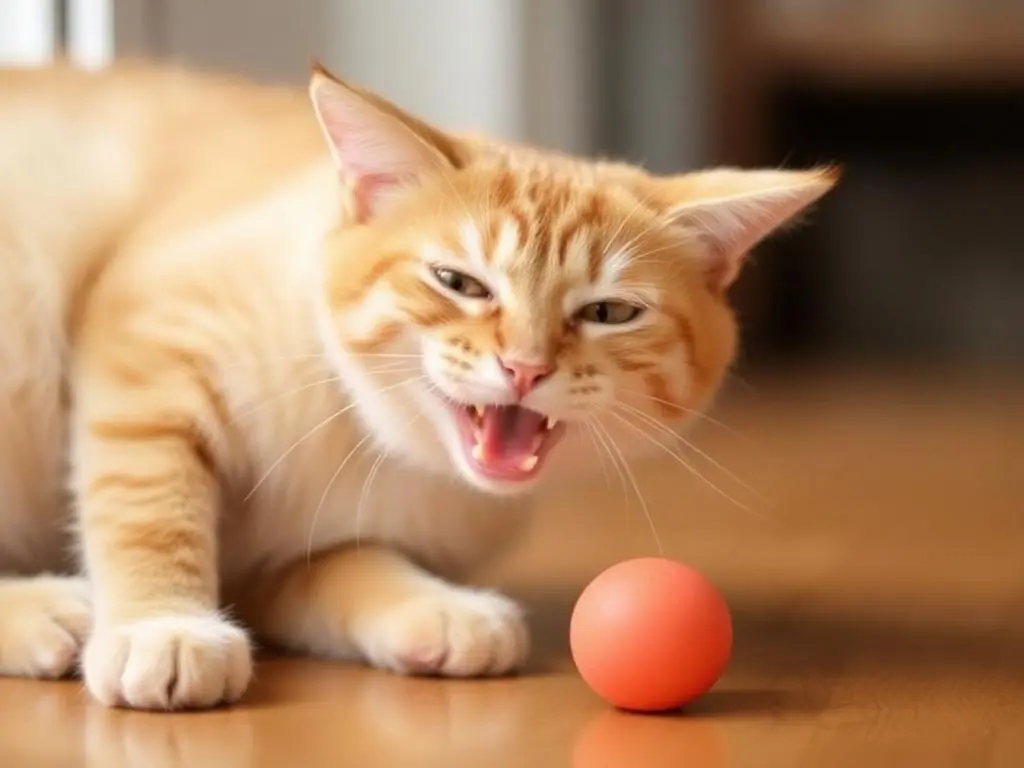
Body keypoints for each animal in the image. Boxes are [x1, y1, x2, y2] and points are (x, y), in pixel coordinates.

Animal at [0, 58, 835, 708]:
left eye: (608, 312)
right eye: (458, 282)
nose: (525, 366)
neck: (369, 435)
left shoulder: (281, 559)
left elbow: (341, 565)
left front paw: (435, 609)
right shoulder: (149, 337)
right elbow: (149, 503)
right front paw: (163, 626)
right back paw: (49, 609)